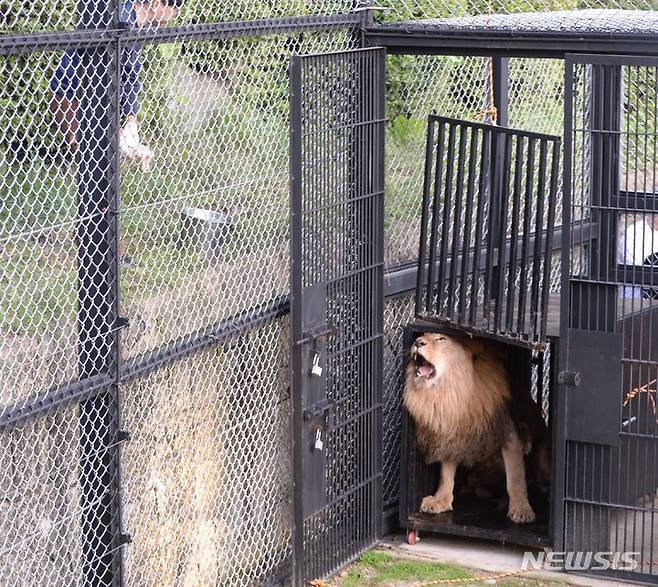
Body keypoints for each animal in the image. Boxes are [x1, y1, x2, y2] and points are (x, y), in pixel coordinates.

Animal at [402, 334, 540, 524]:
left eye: (441, 338)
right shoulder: (454, 433)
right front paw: (441, 500)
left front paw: (521, 509)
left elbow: (515, 477)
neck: (451, 391)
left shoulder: (508, 434)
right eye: (422, 335)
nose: (417, 342)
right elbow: (446, 474)